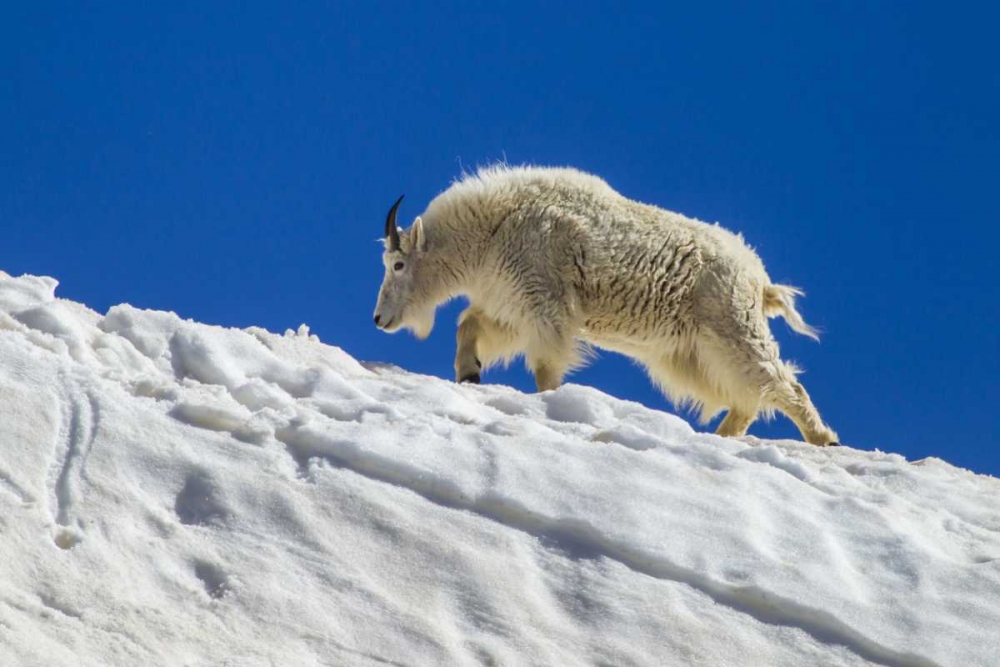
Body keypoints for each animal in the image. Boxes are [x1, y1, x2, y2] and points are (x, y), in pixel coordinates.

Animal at [373, 166, 838, 445]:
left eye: (398, 264)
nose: (378, 319)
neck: (494, 227)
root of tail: (758, 278)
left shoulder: (545, 305)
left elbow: (545, 367)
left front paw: (552, 405)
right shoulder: (514, 306)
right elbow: (468, 324)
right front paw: (470, 373)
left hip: (731, 328)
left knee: (780, 383)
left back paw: (823, 438)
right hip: (689, 353)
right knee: (746, 398)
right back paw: (722, 439)